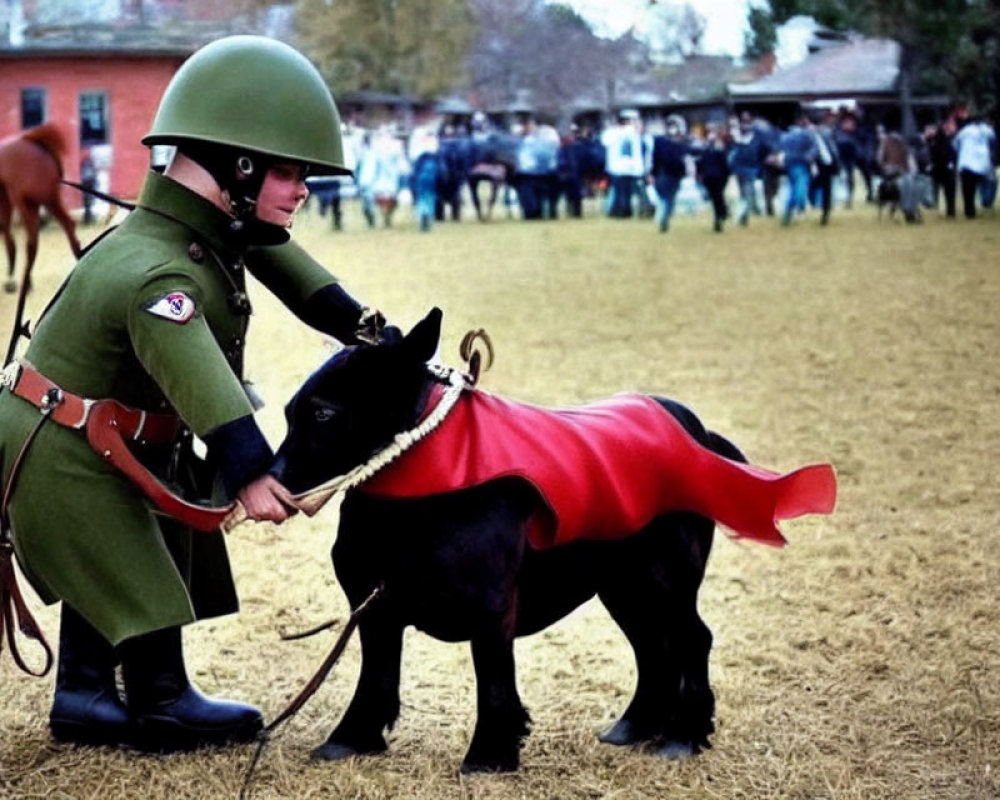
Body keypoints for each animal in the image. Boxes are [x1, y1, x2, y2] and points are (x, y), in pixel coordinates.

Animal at [274, 310, 752, 772]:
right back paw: (635, 725)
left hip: (664, 580)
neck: (417, 484)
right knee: (653, 647)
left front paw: (489, 754)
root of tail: (699, 433)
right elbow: (375, 676)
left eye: (323, 414)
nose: (272, 478)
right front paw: (351, 738)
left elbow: (493, 680)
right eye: (288, 412)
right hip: (624, 585)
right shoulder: (374, 605)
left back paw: (684, 735)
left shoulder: (491, 605)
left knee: (691, 640)